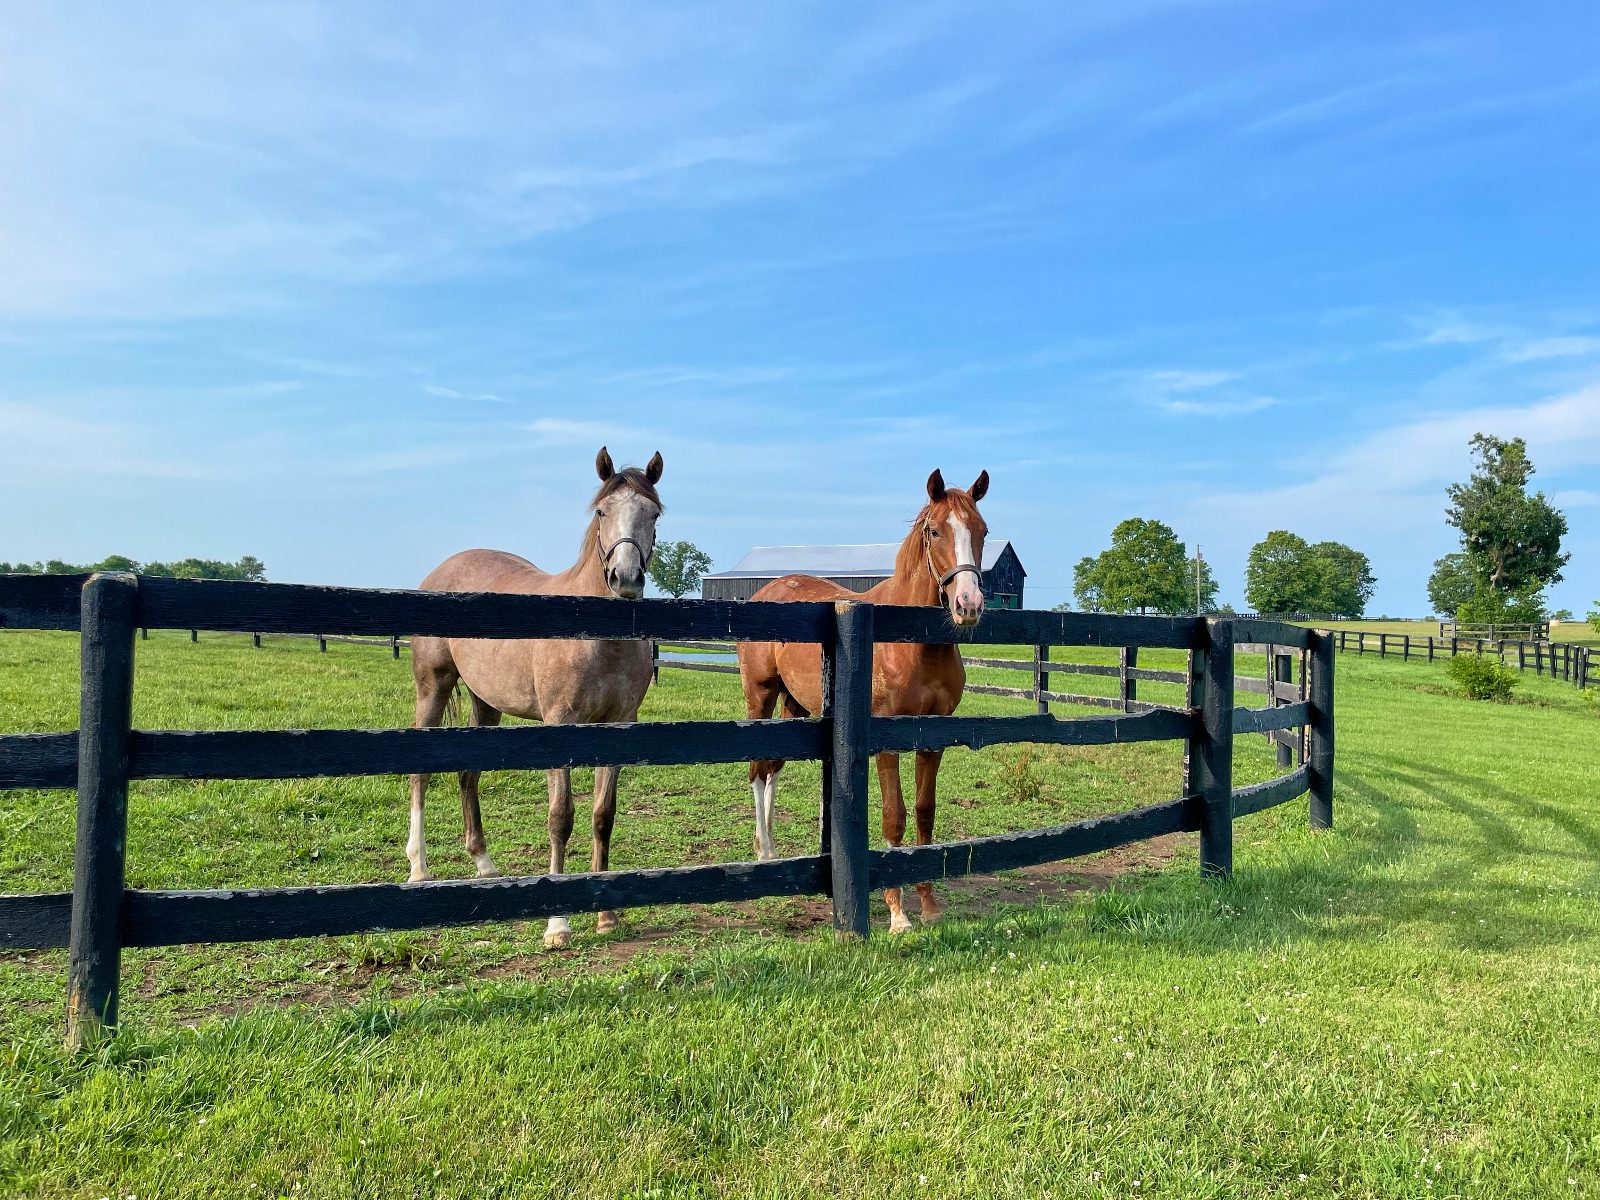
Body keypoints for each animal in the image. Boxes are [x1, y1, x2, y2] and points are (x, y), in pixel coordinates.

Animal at [412, 448, 668, 947]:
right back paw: (418, 869)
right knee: (420, 773)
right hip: (433, 688)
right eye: (602, 511)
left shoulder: (618, 726)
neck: (596, 640)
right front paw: (557, 924)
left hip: (485, 704)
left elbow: (603, 816)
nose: (625, 578)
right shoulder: (559, 725)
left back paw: (484, 863)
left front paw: (606, 916)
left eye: (654, 515)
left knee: (468, 775)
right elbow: (560, 818)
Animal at [736, 467, 985, 928]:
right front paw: (897, 914)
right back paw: (765, 852)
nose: (968, 604)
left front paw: (928, 906)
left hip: (795, 704)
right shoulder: (885, 738)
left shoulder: (933, 738)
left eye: (981, 530)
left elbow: (925, 812)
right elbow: (894, 816)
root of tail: (765, 593)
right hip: (760, 696)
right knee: (757, 770)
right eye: (935, 530)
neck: (911, 641)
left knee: (774, 768)